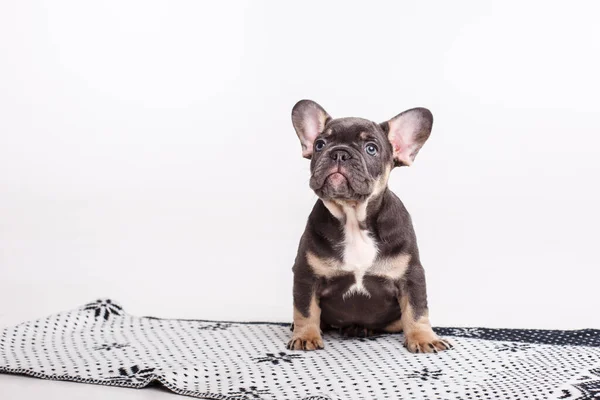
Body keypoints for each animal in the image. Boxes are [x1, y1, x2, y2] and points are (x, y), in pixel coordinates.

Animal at [286, 100, 450, 354]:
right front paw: (305, 336)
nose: (339, 153)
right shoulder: (306, 274)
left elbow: (417, 309)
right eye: (319, 144)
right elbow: (305, 309)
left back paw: (363, 329)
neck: (353, 218)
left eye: (371, 148)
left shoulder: (411, 276)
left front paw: (424, 338)